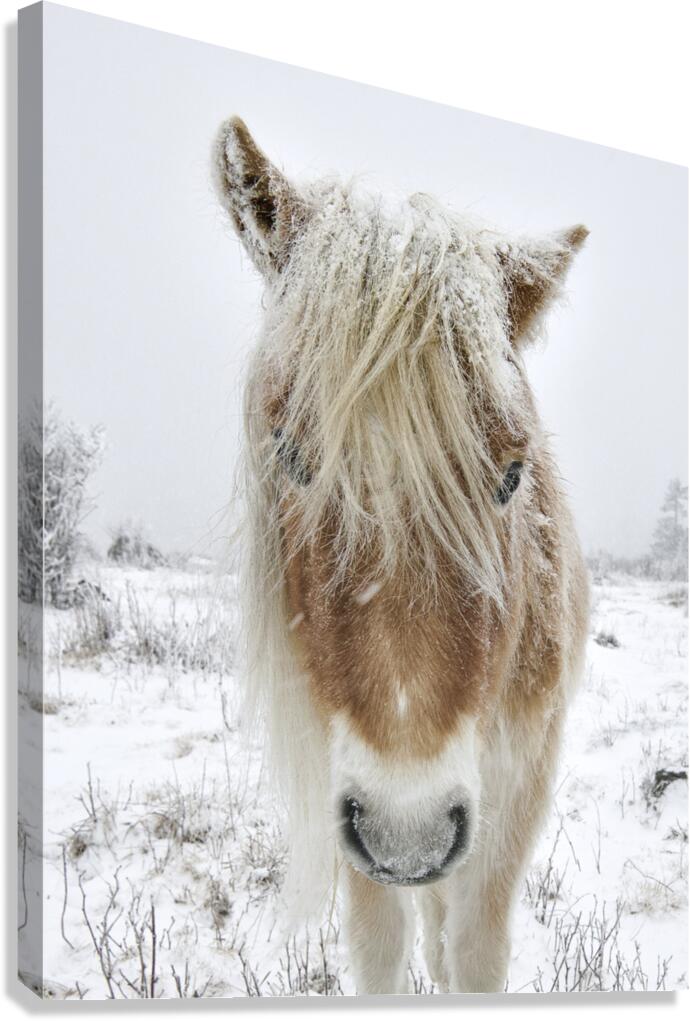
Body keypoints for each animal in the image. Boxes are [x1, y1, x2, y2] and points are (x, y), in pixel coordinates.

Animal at [213, 116, 589, 995]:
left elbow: (475, 950)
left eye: (511, 473)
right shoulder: (349, 794)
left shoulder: (513, 788)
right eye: (290, 454)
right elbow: (380, 945)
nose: (407, 833)